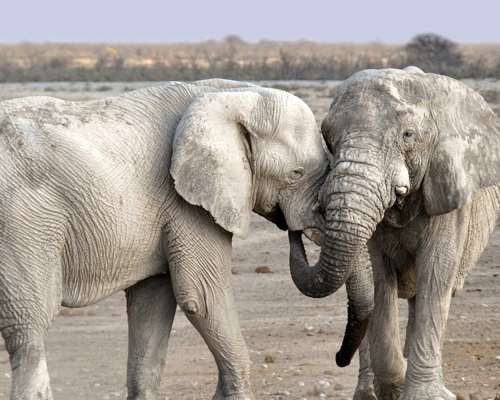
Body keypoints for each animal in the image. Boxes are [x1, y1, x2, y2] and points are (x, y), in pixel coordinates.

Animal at [0, 79, 332, 400]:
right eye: (296, 173)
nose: (294, 229)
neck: (235, 93)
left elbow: (151, 307)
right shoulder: (185, 202)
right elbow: (202, 296)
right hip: (24, 222)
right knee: (30, 327)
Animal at [288, 68, 500, 400]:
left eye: (408, 135)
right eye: (328, 139)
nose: (296, 229)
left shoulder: (448, 190)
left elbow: (436, 274)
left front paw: (424, 395)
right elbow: (377, 279)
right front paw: (396, 386)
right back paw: (369, 392)